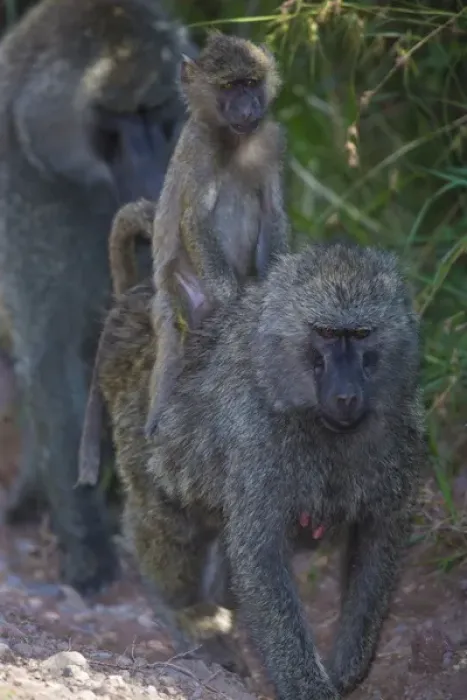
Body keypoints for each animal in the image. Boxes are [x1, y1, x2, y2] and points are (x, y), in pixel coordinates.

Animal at [0, 0, 198, 596]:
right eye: (115, 119)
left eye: (155, 111)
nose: (154, 169)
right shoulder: (25, 195)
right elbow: (51, 357)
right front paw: (85, 543)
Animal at [88, 237, 425, 699]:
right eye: (325, 333)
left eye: (360, 334)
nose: (346, 396)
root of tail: (136, 299)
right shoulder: (257, 436)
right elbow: (261, 558)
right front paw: (309, 688)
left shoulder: (398, 429)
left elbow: (378, 540)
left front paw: (345, 671)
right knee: (169, 519)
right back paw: (188, 617)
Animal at [145, 30, 290, 438]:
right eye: (228, 86)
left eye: (251, 83)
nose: (247, 109)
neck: (234, 141)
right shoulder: (200, 148)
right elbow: (195, 220)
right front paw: (236, 307)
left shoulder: (271, 139)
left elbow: (272, 211)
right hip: (178, 297)